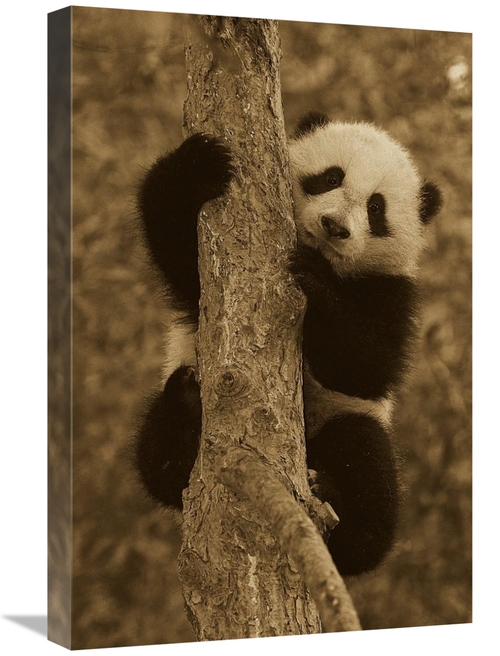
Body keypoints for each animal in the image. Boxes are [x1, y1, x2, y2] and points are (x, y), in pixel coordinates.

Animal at [134, 111, 442, 576]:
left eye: (376, 208)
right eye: (330, 177)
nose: (334, 227)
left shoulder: (391, 291)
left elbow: (367, 366)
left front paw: (313, 279)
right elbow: (181, 254)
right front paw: (198, 165)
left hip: (343, 426)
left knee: (367, 467)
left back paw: (335, 501)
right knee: (157, 458)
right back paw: (184, 410)